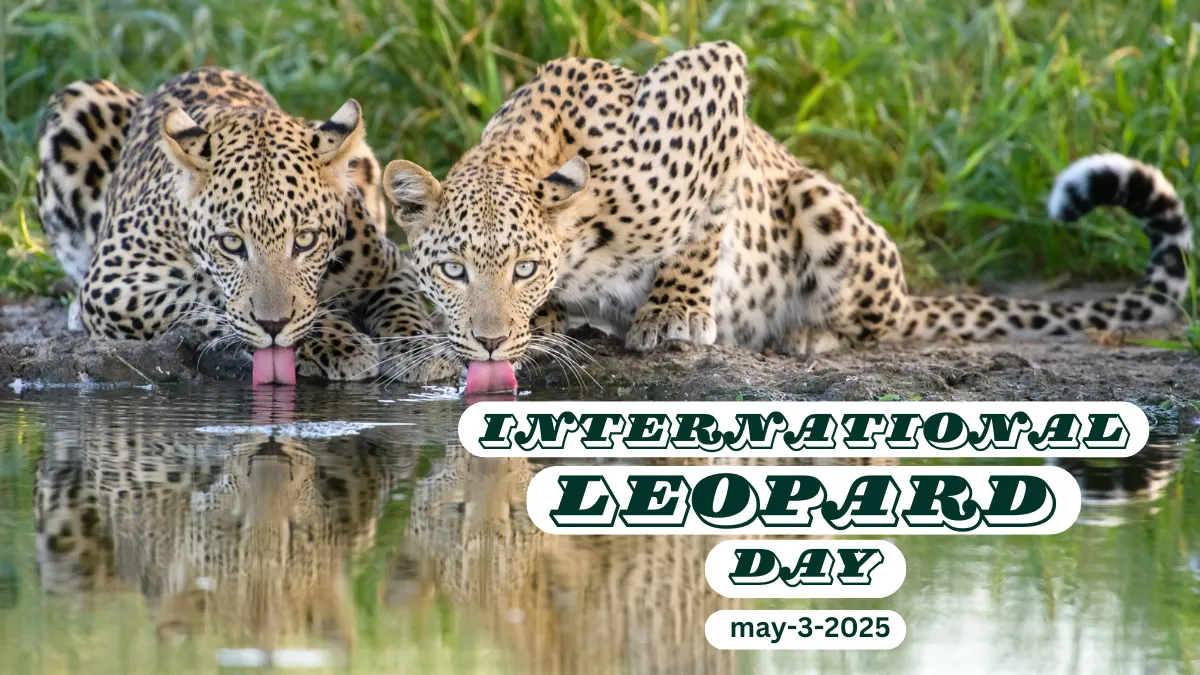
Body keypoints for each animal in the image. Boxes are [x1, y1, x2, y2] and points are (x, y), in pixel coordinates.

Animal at [35, 68, 454, 383]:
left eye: (305, 240)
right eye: (231, 244)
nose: (273, 325)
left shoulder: (390, 267)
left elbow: (403, 308)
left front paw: (422, 354)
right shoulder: (113, 284)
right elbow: (205, 300)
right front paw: (337, 344)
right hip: (79, 100)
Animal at [380, 41, 1195, 389]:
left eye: (524, 267)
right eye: (452, 270)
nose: (488, 342)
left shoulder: (716, 84)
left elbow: (705, 226)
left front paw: (673, 315)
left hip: (821, 203)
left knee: (866, 322)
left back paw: (804, 335)